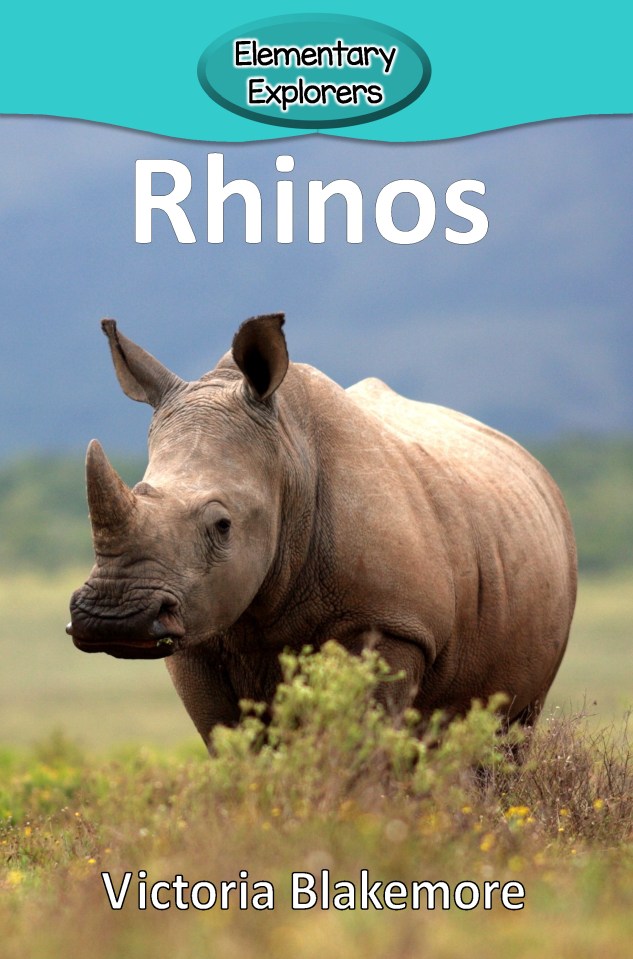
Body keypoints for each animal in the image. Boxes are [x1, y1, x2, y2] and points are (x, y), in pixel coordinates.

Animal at [68, 314, 577, 747]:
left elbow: (362, 743)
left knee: (507, 733)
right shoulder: (198, 636)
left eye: (223, 525)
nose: (114, 618)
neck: (290, 459)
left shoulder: (391, 625)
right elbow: (235, 744)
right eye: (139, 491)